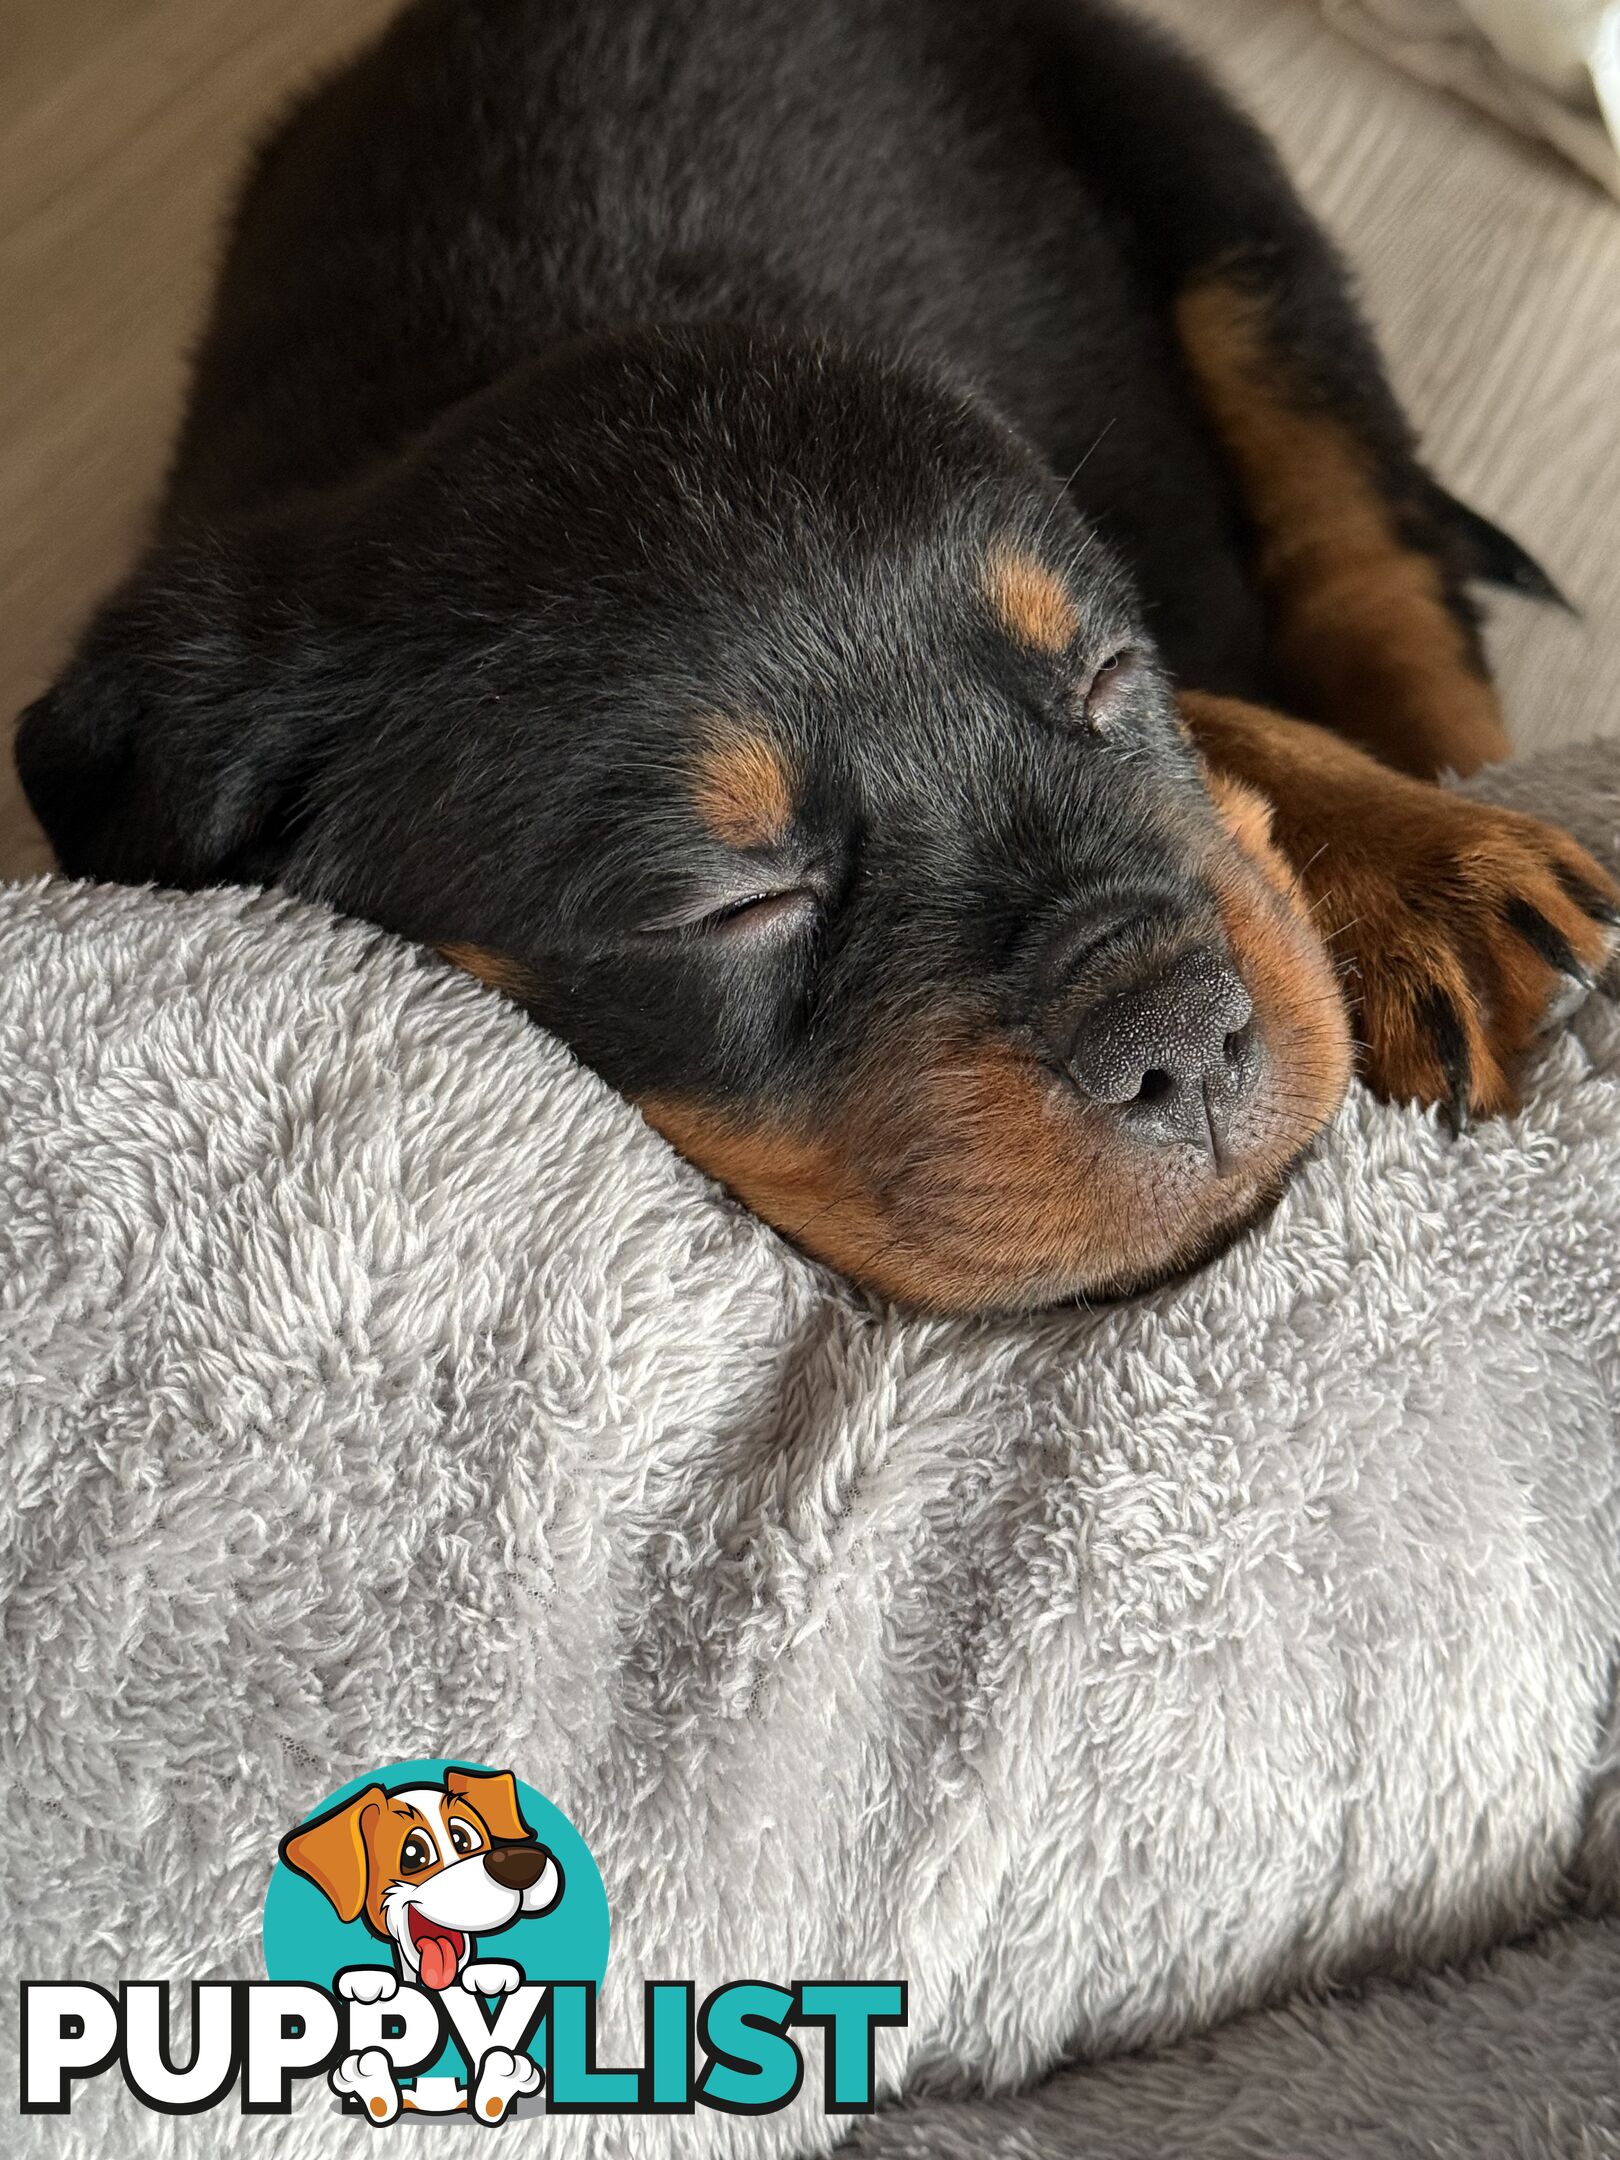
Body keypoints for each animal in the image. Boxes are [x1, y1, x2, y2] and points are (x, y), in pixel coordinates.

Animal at [15, 0, 1620, 1304]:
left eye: (1108, 675)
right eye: (735, 902)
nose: (1178, 1035)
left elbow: (1234, 704)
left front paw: (1419, 873)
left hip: (1199, 164)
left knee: (1359, 530)